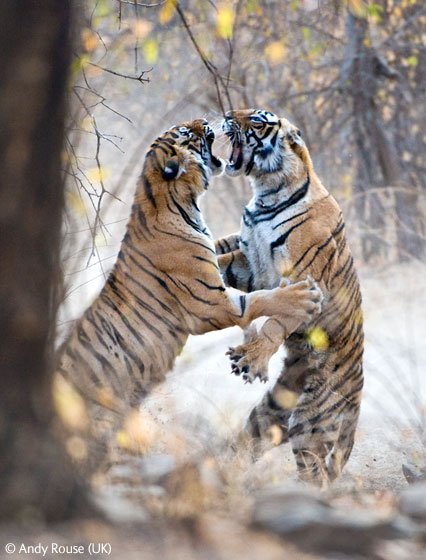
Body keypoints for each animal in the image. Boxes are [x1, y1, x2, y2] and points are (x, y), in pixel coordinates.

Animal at [57, 120, 322, 474]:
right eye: (186, 132)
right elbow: (258, 299)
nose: (207, 121)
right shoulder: (210, 303)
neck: (170, 198)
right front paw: (302, 296)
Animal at [215, 109, 364, 486]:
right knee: (251, 440)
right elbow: (222, 262)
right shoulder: (250, 263)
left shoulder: (302, 278)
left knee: (317, 475)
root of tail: (358, 396)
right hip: (272, 411)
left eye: (256, 121)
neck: (265, 193)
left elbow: (278, 319)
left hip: (311, 422)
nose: (226, 115)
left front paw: (253, 355)